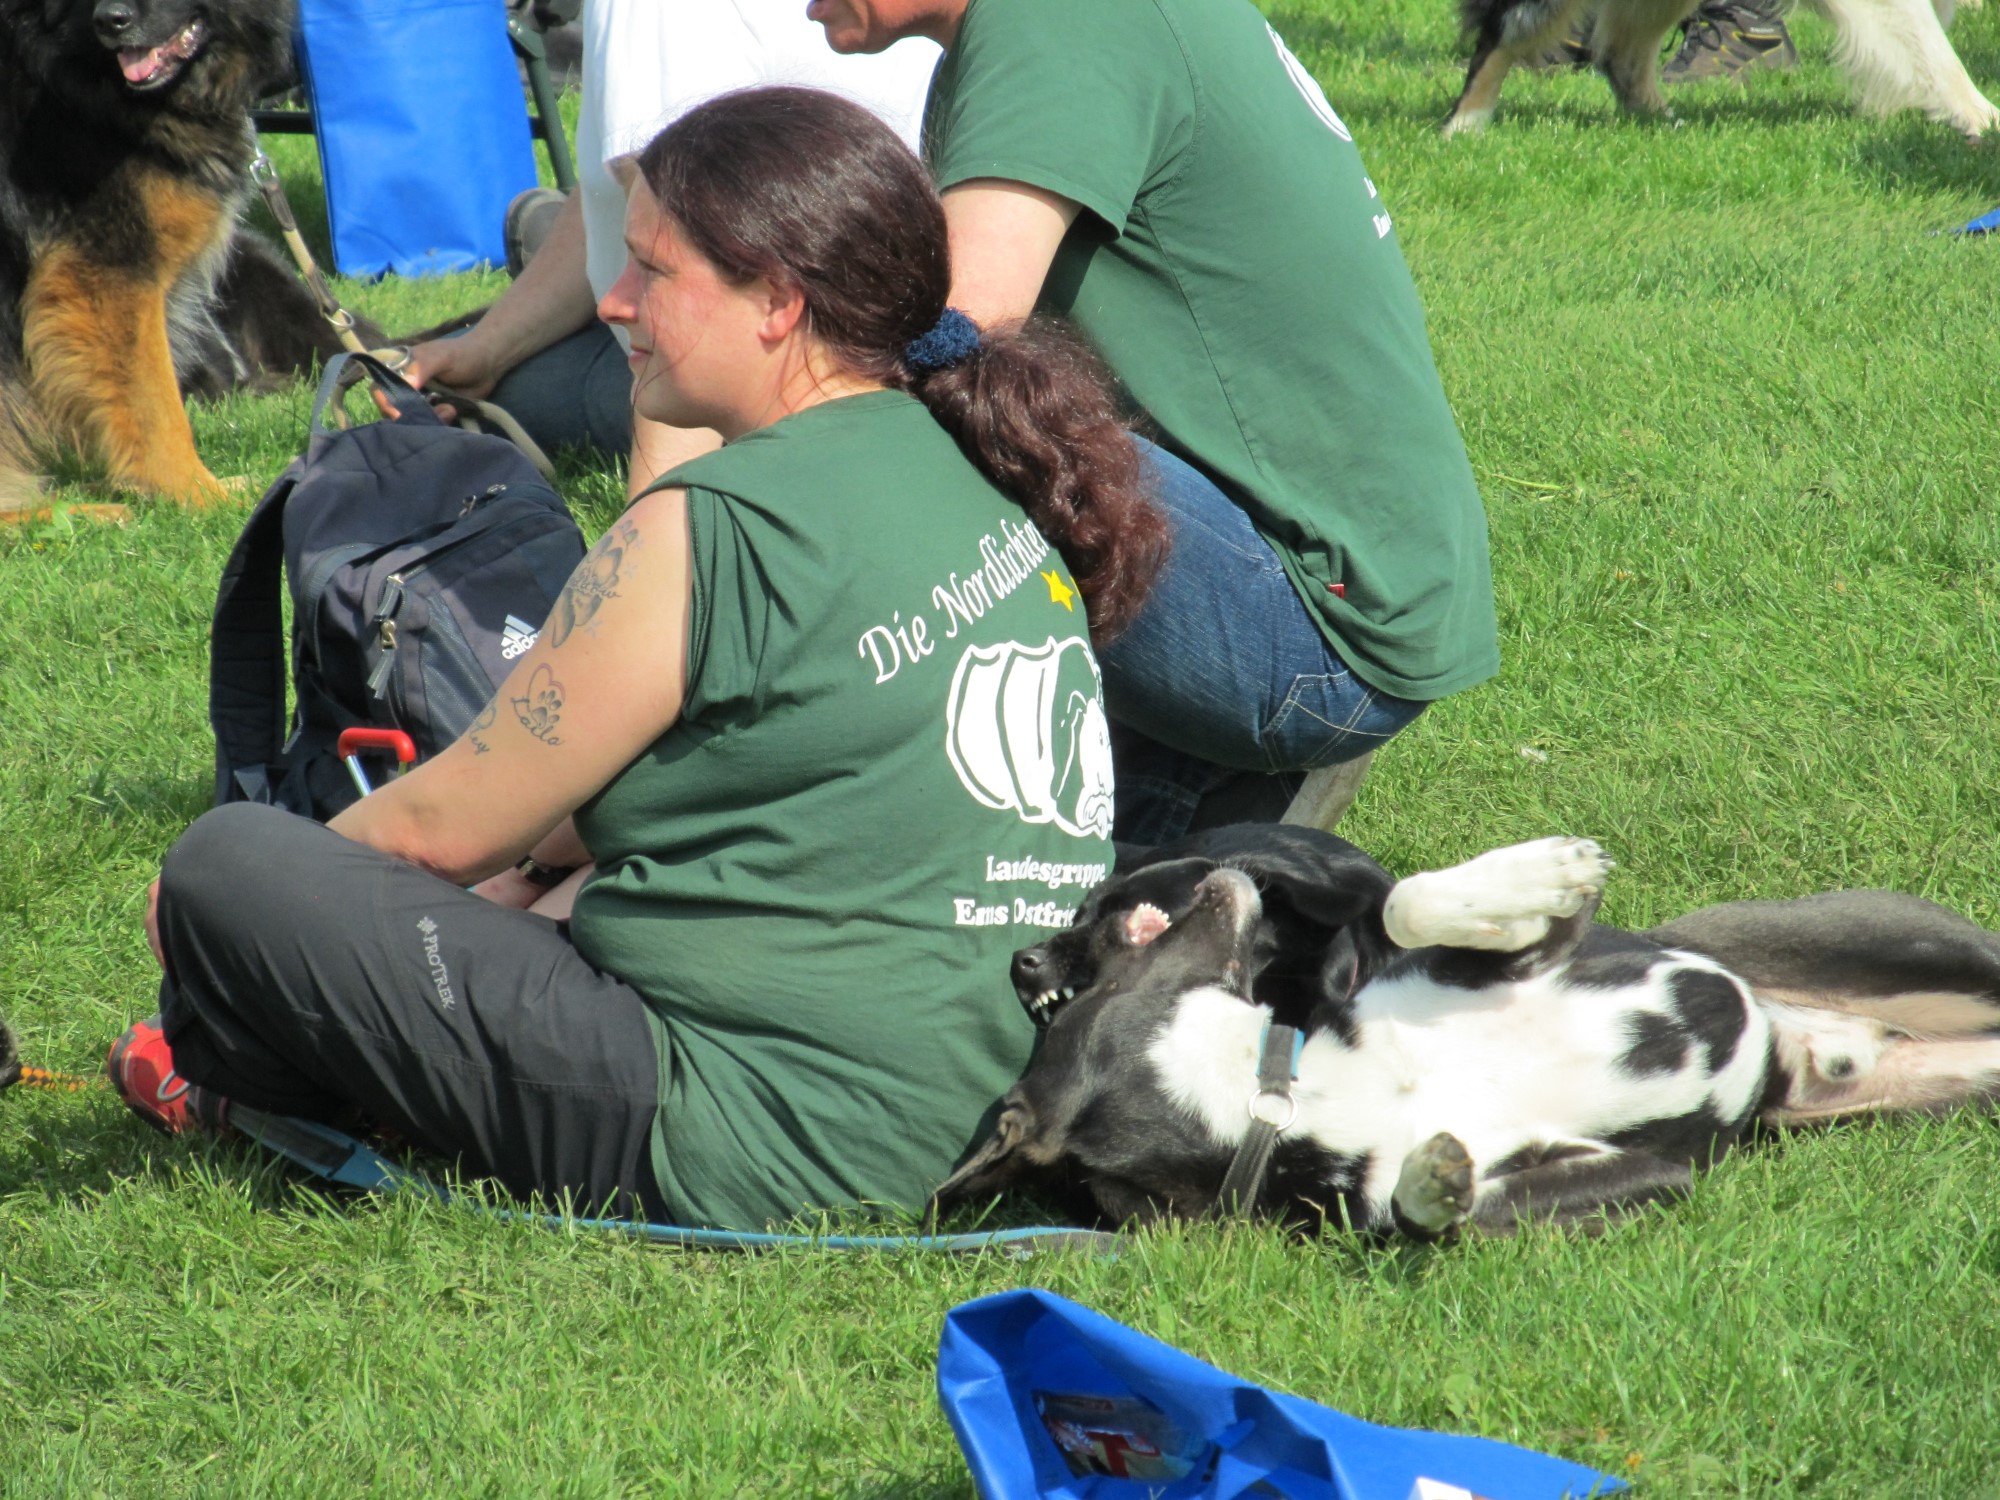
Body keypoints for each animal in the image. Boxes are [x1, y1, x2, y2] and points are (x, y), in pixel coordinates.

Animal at [934, 827, 2000, 1236]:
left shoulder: (1552, 946)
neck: (1278, 1091)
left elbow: (1412, 900)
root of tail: (1798, 1045)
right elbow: (1450, 1209)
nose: (1022, 962)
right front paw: (1434, 1180)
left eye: (1106, 922)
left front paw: (1545, 869)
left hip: (1915, 948)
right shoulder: (1652, 1172)